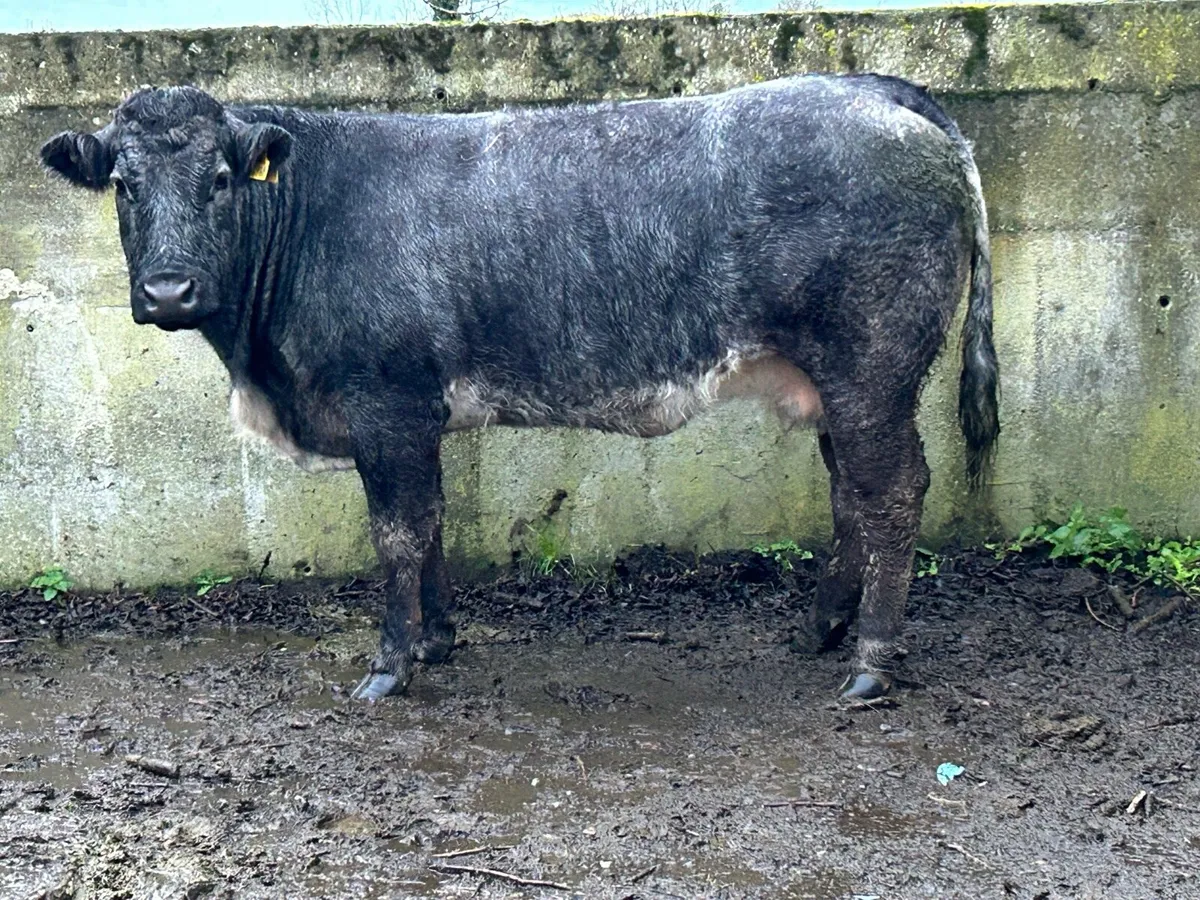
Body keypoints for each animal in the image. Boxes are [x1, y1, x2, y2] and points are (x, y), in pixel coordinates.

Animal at [41, 73, 999, 703]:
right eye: (123, 185)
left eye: (219, 179)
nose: (169, 291)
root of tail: (875, 92)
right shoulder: (413, 413)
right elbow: (427, 524)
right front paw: (438, 639)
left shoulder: (385, 400)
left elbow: (397, 530)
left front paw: (391, 665)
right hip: (838, 382)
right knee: (851, 493)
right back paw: (819, 629)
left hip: (871, 365)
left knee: (893, 491)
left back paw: (871, 662)